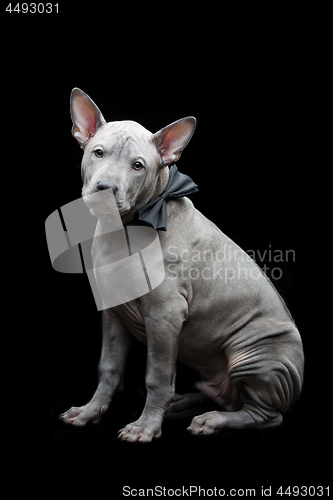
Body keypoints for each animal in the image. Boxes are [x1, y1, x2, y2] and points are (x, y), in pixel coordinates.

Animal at [60, 89, 304, 442]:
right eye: (98, 152)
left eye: (138, 166)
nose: (105, 188)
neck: (124, 230)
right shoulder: (113, 313)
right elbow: (109, 368)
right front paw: (90, 412)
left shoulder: (165, 316)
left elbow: (157, 376)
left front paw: (145, 427)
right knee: (220, 397)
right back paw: (181, 406)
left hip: (255, 355)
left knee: (263, 415)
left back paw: (212, 420)